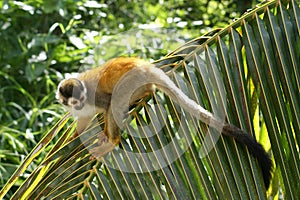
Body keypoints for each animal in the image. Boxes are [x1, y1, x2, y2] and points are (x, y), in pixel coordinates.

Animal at [55, 57, 272, 188]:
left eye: (81, 98)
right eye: (74, 102)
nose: (79, 104)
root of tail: (145, 66)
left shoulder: (94, 97)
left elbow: (108, 105)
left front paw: (108, 137)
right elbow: (83, 119)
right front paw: (75, 137)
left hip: (130, 81)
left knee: (117, 100)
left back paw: (113, 139)